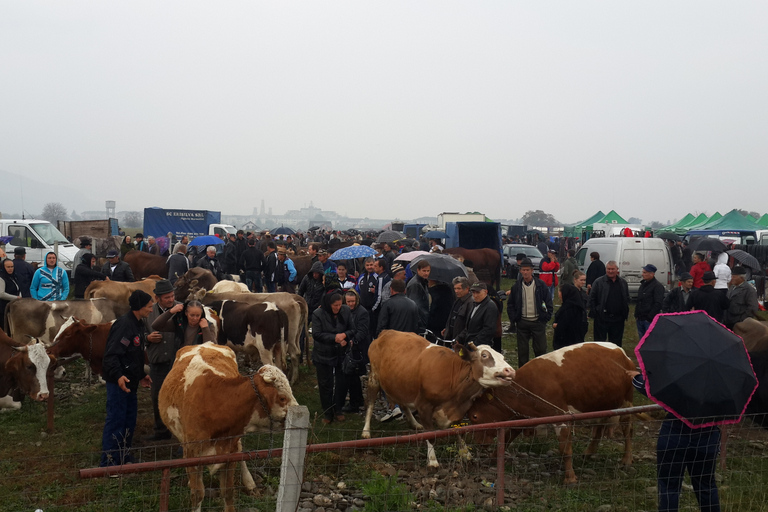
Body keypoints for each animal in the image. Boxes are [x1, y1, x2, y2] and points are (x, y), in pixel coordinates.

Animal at [159, 342, 296, 512]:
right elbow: (197, 494)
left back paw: (250, 483)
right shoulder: (192, 453)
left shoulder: (230, 453)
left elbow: (228, 491)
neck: (215, 403)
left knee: (240, 449)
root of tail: (205, 343)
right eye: (282, 398)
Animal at [362, 330, 516, 466]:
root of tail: (385, 332)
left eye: (502, 357)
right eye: (484, 355)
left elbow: (459, 431)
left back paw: (415, 423)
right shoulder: (424, 406)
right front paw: (432, 460)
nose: (511, 370)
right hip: (374, 377)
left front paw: (466, 454)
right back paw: (366, 432)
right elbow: (430, 435)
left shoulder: (460, 409)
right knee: (370, 402)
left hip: (400, 382)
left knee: (403, 402)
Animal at [468, 344, 636, 484]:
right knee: (600, 424)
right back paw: (589, 452)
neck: (524, 389)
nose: (478, 442)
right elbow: (507, 438)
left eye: (474, 416)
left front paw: (570, 478)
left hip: (626, 403)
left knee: (627, 429)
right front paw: (492, 458)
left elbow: (565, 450)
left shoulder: (561, 417)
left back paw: (627, 459)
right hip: (602, 402)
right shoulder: (522, 417)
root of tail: (621, 352)